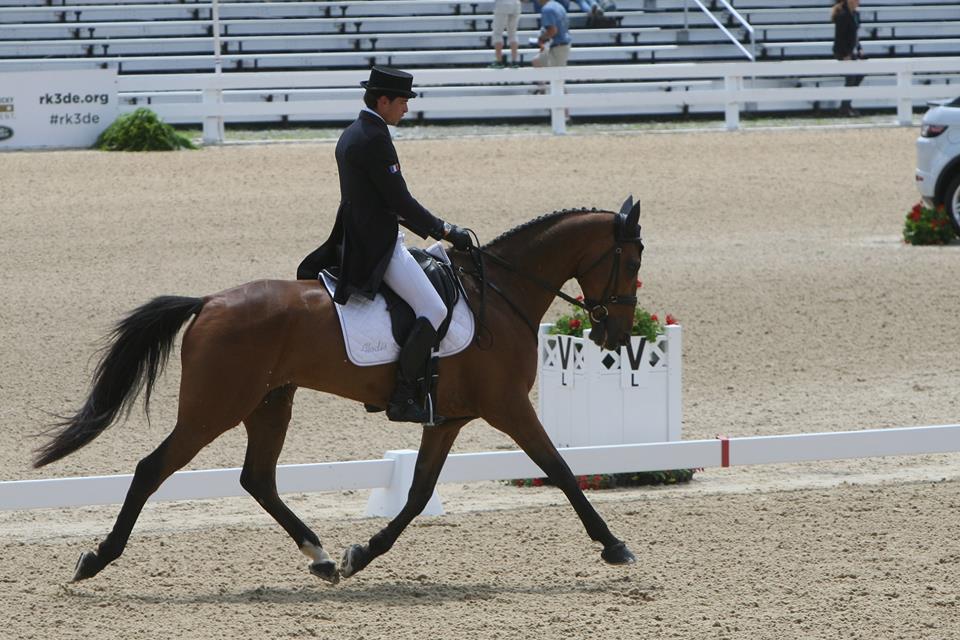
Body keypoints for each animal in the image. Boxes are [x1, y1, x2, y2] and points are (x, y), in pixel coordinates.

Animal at [33, 200, 644, 584]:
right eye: (633, 261)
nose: (614, 335)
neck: (499, 291)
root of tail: (207, 302)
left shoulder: (447, 419)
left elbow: (418, 494)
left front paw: (361, 554)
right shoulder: (508, 407)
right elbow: (560, 468)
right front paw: (614, 545)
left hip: (269, 404)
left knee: (258, 479)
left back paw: (323, 557)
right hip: (215, 409)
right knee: (152, 469)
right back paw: (97, 559)